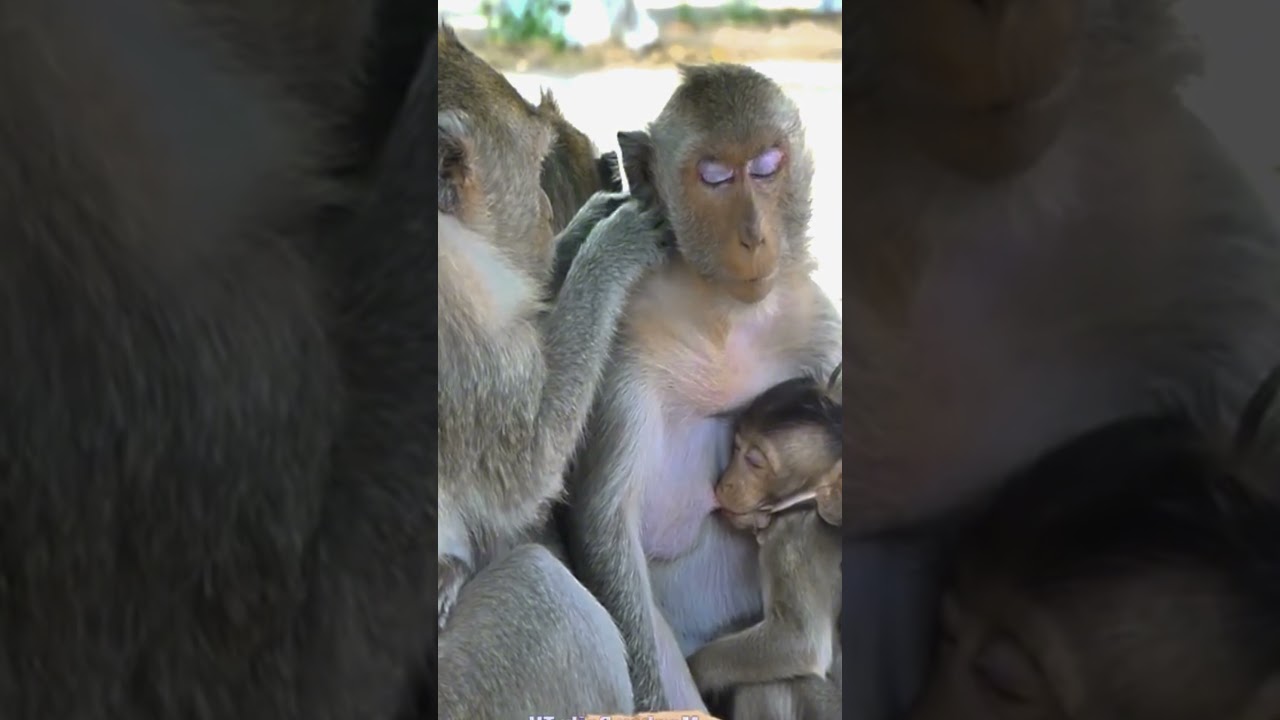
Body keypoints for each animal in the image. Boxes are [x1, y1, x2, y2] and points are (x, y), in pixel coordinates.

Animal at [684, 374, 843, 720]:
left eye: (754, 462)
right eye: (736, 447)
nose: (724, 483)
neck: (807, 503)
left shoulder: (792, 542)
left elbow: (798, 641)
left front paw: (696, 672)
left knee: (772, 683)